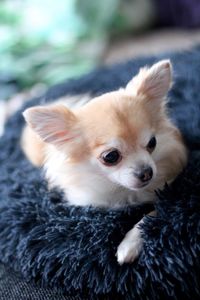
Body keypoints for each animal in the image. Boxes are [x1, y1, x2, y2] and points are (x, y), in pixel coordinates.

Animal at [21, 59, 187, 264]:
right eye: (111, 157)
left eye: (152, 143)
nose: (147, 172)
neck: (123, 191)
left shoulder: (169, 193)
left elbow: (152, 214)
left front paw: (129, 245)